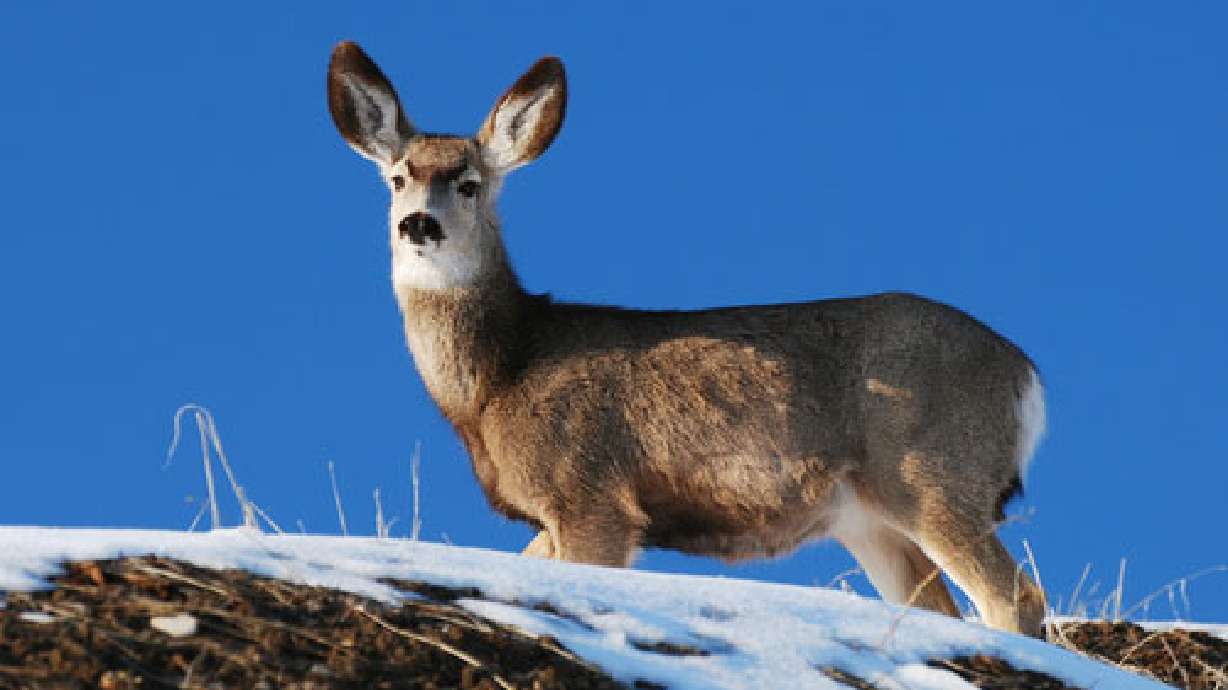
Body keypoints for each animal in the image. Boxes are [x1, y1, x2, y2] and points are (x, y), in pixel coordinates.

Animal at [326, 41, 1049, 637]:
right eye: (398, 177)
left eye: (471, 184)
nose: (419, 224)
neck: (499, 375)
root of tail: (1026, 376)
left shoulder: (590, 491)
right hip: (868, 518)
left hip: (934, 474)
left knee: (1014, 597)